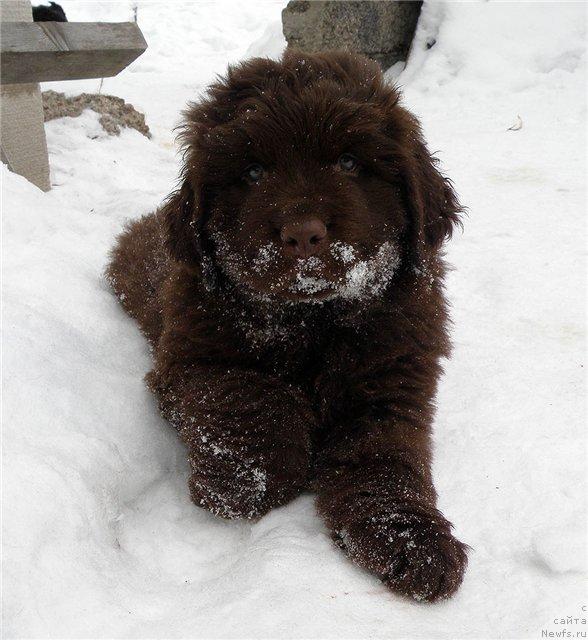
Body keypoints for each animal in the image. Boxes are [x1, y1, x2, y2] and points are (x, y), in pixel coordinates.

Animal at [107, 48, 468, 600]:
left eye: (348, 162)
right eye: (254, 171)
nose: (303, 234)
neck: (313, 324)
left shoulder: (393, 383)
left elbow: (387, 458)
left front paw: (412, 541)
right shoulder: (186, 361)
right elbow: (249, 395)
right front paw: (245, 478)